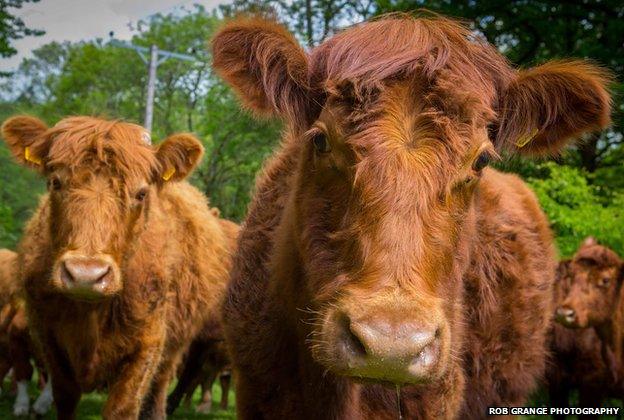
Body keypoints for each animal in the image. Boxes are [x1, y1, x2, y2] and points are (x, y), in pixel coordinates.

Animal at [1, 115, 239, 420]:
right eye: (55, 182)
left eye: (141, 193)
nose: (86, 274)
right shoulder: (49, 338)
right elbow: (62, 396)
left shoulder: (148, 344)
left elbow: (123, 406)